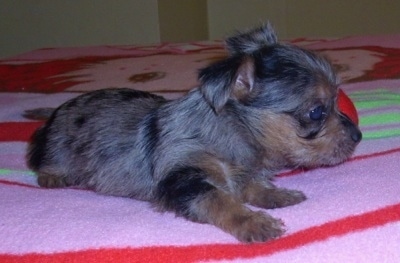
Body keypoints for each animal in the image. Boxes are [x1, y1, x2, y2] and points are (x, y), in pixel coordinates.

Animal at [25, 23, 362, 244]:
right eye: (317, 112)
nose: (358, 136)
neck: (233, 135)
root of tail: (54, 113)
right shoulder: (184, 179)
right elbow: (219, 199)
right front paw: (253, 222)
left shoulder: (241, 172)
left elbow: (251, 186)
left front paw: (276, 195)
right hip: (57, 146)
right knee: (45, 159)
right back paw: (52, 176)